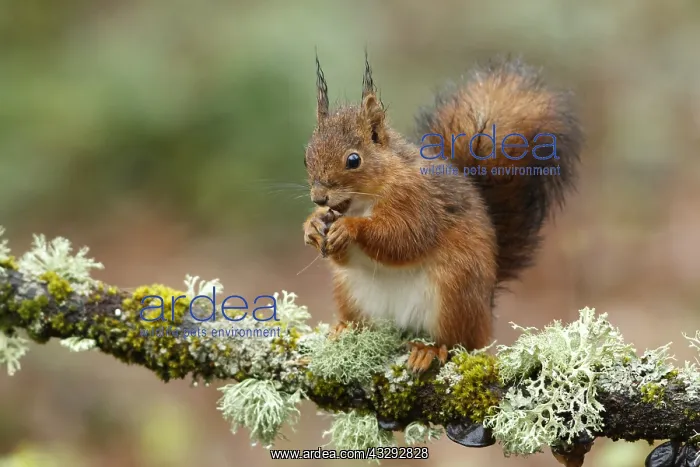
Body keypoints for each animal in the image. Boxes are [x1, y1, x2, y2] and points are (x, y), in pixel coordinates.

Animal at [302, 53, 582, 372]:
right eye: (305, 157)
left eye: (353, 160)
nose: (319, 197)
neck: (366, 200)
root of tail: (485, 310)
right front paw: (312, 226)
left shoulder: (421, 203)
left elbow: (403, 238)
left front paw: (350, 228)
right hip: (351, 293)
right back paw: (345, 329)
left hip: (454, 293)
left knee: (456, 341)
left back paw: (429, 349)